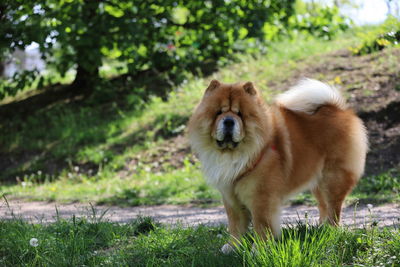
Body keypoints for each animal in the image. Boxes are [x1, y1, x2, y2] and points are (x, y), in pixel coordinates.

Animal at [188, 79, 368, 253]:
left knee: (333, 208)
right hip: (318, 182)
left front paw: (259, 249)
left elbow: (261, 225)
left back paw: (330, 231)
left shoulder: (261, 197)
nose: (229, 121)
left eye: (240, 114)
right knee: (323, 205)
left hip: (333, 179)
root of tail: (338, 108)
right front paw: (232, 247)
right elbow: (235, 225)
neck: (235, 154)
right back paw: (321, 229)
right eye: (218, 113)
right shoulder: (231, 196)